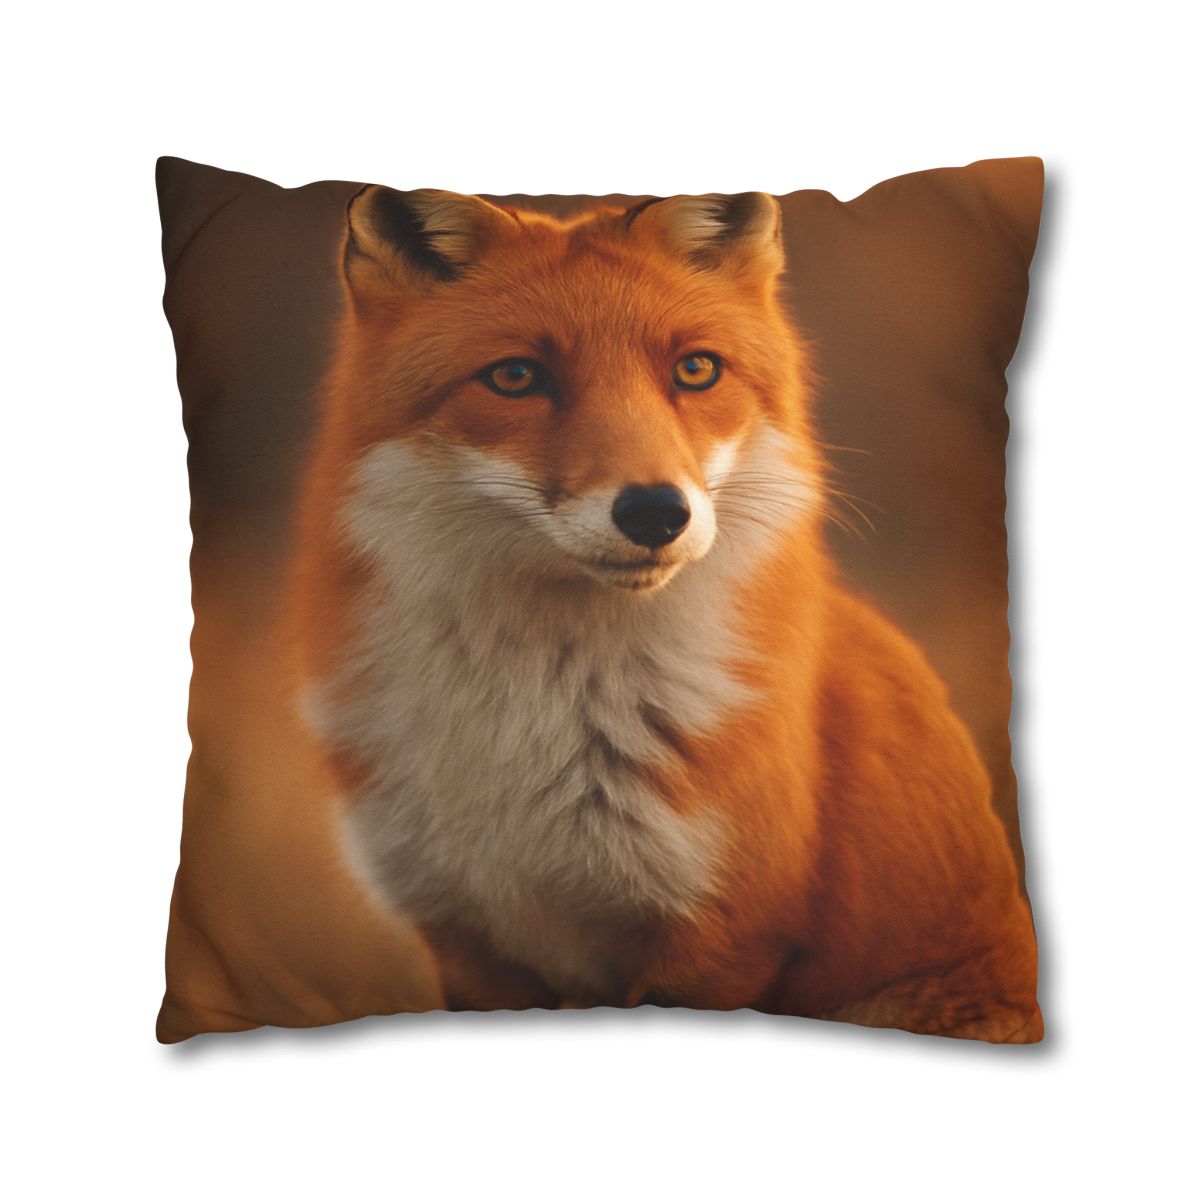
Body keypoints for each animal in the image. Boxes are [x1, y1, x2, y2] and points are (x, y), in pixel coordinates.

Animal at [290, 184, 1042, 1042]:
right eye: (515, 376)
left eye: (695, 369)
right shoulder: (466, 941)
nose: (655, 512)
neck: (536, 721)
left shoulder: (724, 935)